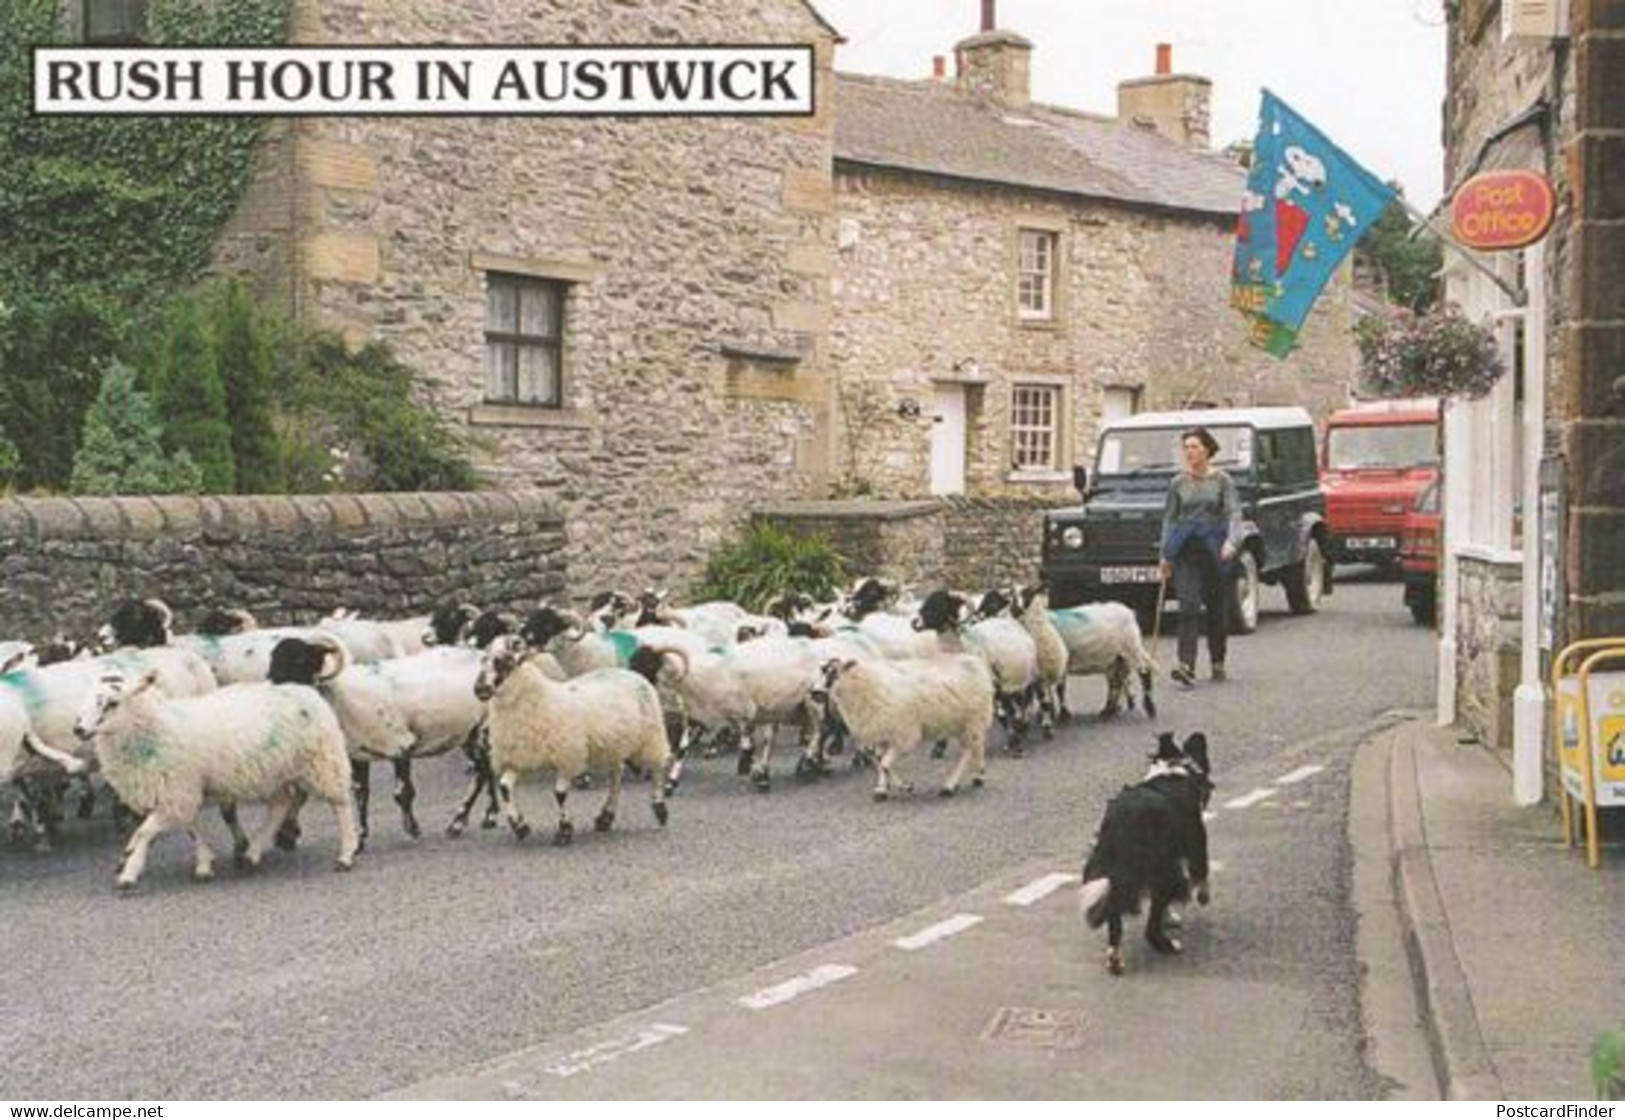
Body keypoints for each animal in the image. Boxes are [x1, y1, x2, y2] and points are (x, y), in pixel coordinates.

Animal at [471, 633, 679, 845]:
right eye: (483, 660)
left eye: (504, 661)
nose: (479, 689)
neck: (539, 697)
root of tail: (630, 672)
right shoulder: (518, 757)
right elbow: (504, 788)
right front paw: (520, 826)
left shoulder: (567, 755)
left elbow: (560, 794)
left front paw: (564, 831)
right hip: (614, 744)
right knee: (616, 776)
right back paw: (605, 817)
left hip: (650, 736)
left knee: (657, 768)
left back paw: (660, 808)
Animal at [812, 646, 988, 803]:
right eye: (822, 671)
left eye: (833, 673)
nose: (814, 693)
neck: (867, 686)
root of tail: (973, 660)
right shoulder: (881, 735)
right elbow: (880, 762)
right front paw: (882, 790)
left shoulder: (904, 736)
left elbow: (884, 765)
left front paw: (905, 786)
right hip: (963, 724)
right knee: (975, 748)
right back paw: (976, 776)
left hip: (972, 721)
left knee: (967, 752)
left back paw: (951, 786)